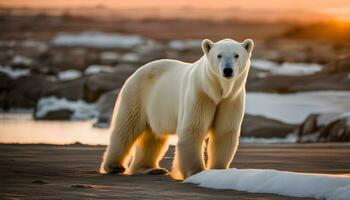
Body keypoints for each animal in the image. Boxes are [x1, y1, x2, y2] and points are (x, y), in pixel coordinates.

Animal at [100, 38, 253, 179]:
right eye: (219, 55)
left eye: (236, 55)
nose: (227, 70)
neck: (216, 90)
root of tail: (136, 72)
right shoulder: (200, 95)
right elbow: (193, 128)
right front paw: (195, 171)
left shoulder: (231, 100)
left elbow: (225, 132)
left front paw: (218, 170)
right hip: (137, 94)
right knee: (126, 128)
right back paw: (114, 166)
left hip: (156, 106)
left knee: (153, 137)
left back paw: (150, 168)